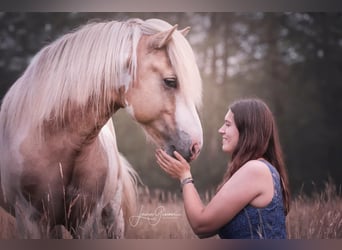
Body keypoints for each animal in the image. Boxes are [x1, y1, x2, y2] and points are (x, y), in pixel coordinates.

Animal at [0, 18, 203, 239]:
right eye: (170, 81)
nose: (196, 145)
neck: (48, 137)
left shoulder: (86, 221)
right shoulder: (30, 219)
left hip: (113, 216)